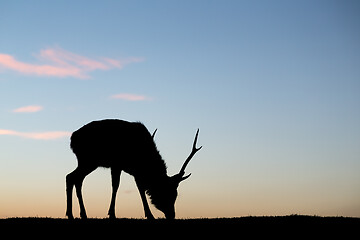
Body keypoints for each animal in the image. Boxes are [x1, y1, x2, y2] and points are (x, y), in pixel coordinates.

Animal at [64, 119, 200, 219]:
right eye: (167, 192)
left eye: (176, 195)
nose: (172, 215)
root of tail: (72, 139)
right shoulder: (117, 164)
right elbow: (116, 186)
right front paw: (112, 214)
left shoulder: (134, 172)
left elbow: (140, 188)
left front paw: (148, 214)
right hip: (88, 160)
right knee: (71, 177)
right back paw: (72, 214)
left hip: (87, 162)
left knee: (74, 178)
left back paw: (80, 214)